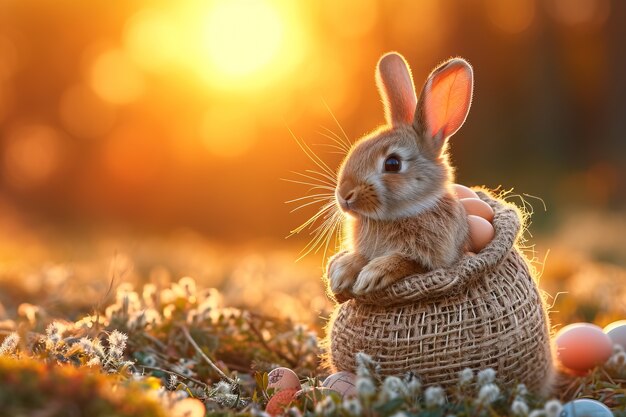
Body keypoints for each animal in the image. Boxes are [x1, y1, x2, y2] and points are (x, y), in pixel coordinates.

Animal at [330, 52, 470, 298]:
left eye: (393, 163)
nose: (344, 194)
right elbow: (360, 258)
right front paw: (341, 272)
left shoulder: (434, 261)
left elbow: (405, 261)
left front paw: (371, 276)